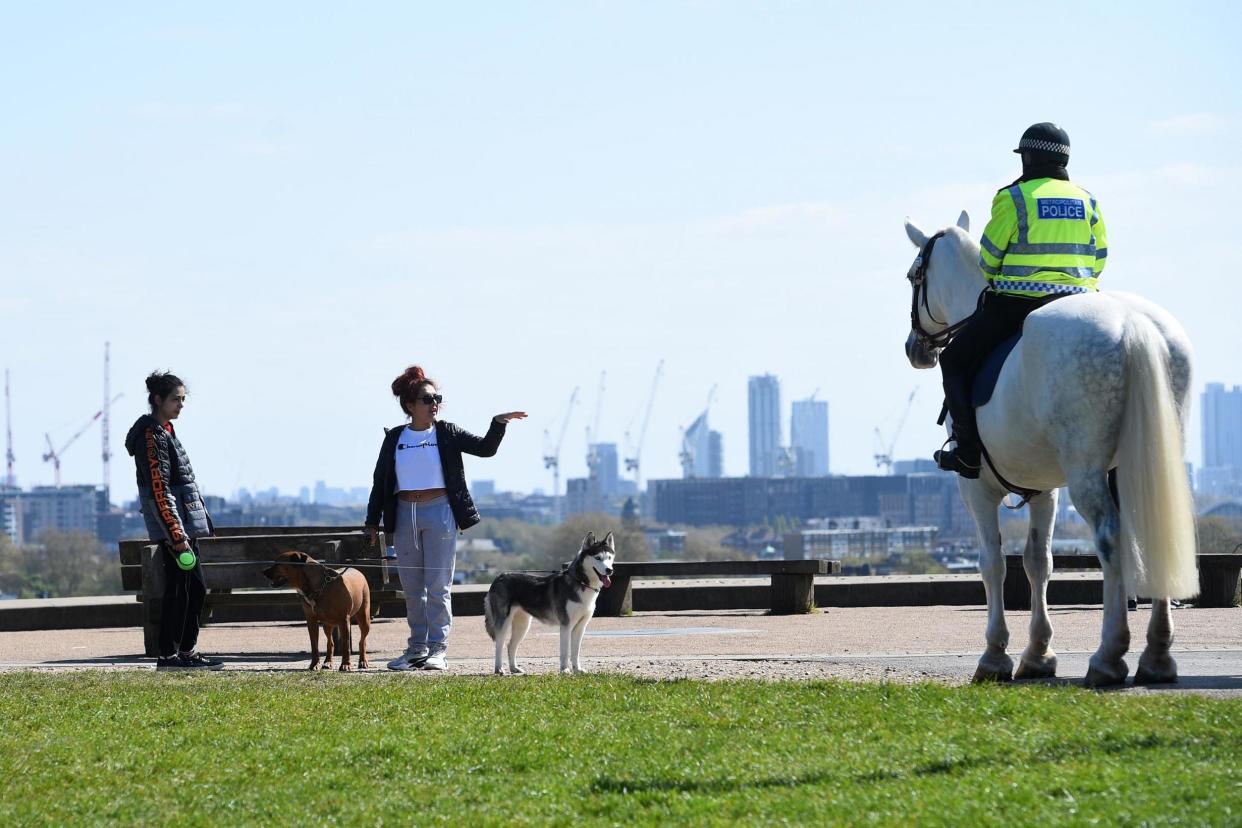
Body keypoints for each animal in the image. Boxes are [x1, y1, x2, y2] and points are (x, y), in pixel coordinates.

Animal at [486, 531, 618, 675]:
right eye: (598, 558)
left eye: (609, 557)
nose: (609, 570)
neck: (581, 582)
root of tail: (499, 577)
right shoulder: (566, 625)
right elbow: (565, 651)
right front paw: (564, 670)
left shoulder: (580, 626)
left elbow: (575, 652)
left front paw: (577, 669)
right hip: (504, 622)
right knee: (499, 644)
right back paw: (499, 669)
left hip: (523, 625)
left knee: (511, 645)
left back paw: (514, 668)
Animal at [899, 212, 1197, 685]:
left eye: (914, 276)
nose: (916, 349)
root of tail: (1132, 324)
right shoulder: (1044, 490)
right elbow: (1038, 562)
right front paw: (1038, 653)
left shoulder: (976, 490)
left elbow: (993, 563)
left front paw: (995, 654)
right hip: (1147, 461)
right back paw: (1156, 656)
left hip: (1086, 470)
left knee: (1111, 537)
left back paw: (1109, 655)